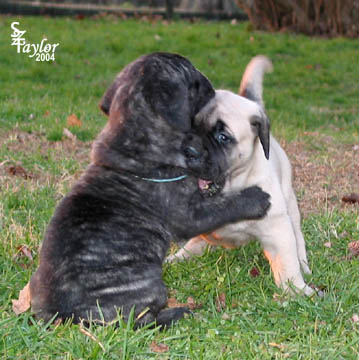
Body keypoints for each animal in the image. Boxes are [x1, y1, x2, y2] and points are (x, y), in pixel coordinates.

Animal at [29, 52, 270, 328]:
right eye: (194, 82)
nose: (211, 85)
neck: (133, 139)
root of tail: (62, 316)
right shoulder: (189, 215)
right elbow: (224, 205)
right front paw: (255, 198)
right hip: (150, 285)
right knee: (140, 321)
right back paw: (176, 313)